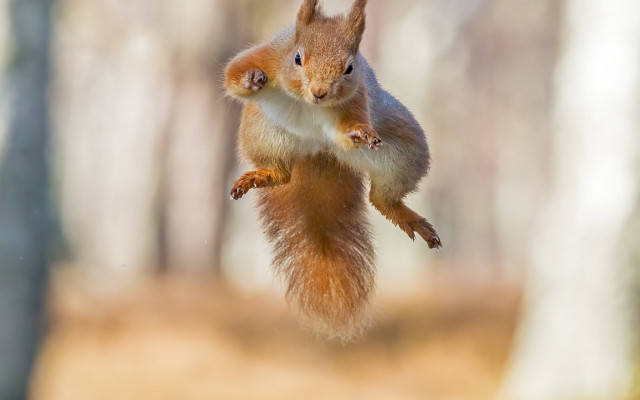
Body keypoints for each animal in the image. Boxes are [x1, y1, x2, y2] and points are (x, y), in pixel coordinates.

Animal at [224, 0, 441, 339]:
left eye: (349, 68)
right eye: (297, 57)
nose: (319, 92)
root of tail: (318, 153)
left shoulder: (356, 99)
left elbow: (348, 129)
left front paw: (358, 134)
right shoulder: (269, 55)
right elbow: (233, 73)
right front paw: (251, 78)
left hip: (405, 151)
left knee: (381, 198)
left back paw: (402, 212)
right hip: (263, 132)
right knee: (282, 173)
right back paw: (262, 174)